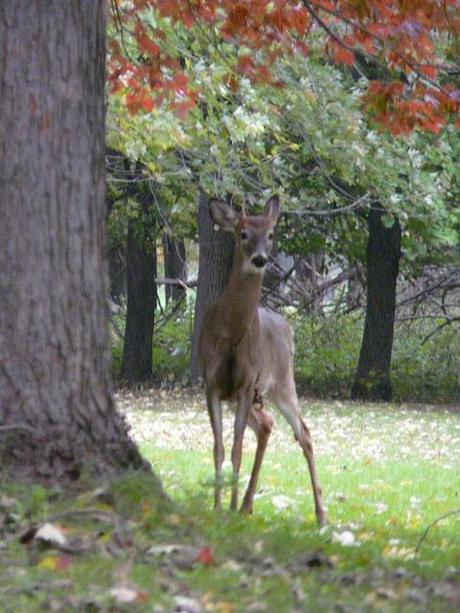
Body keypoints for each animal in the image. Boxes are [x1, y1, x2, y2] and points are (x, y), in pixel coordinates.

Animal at [198, 195, 328, 524]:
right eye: (243, 233)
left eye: (270, 234)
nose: (260, 259)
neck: (231, 333)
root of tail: (289, 329)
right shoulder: (211, 384)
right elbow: (219, 446)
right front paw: (219, 506)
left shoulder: (245, 385)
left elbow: (236, 448)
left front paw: (228, 507)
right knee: (267, 424)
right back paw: (247, 504)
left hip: (283, 382)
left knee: (304, 433)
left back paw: (321, 514)